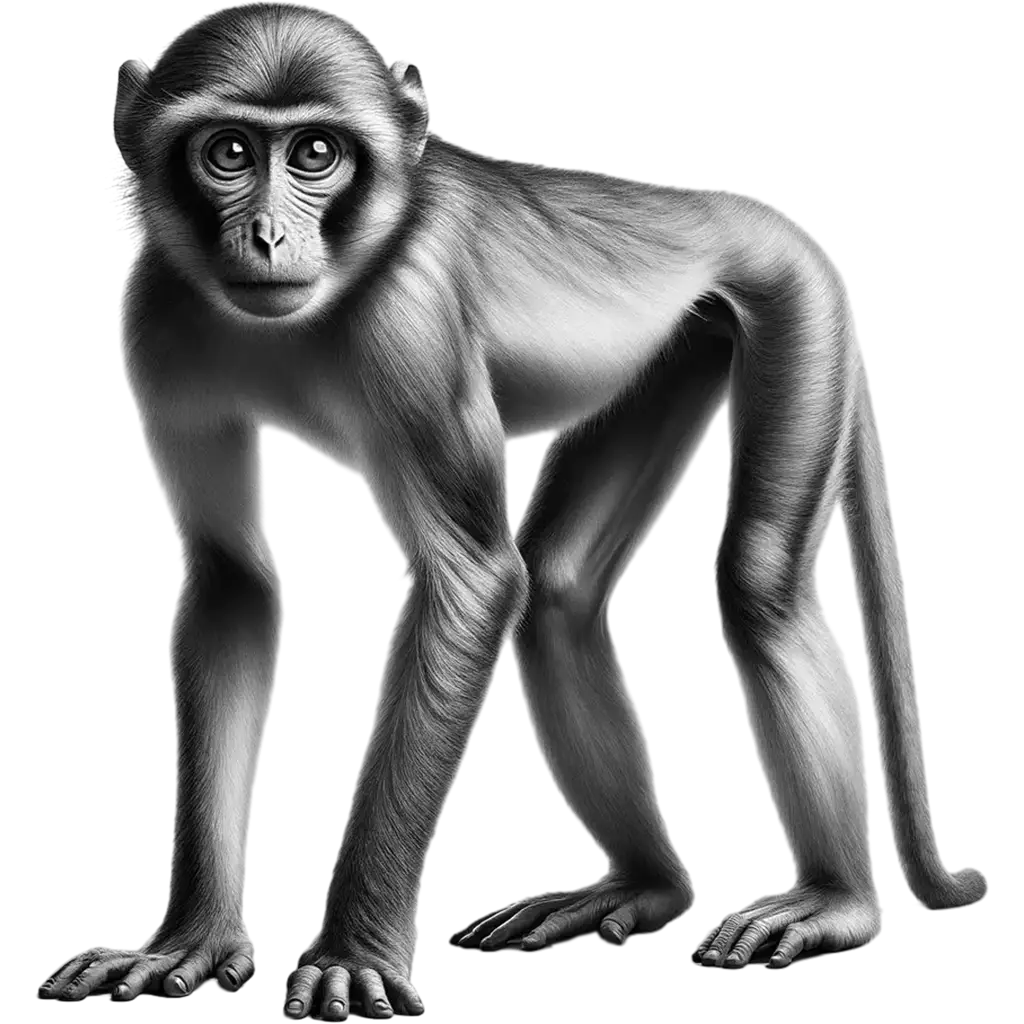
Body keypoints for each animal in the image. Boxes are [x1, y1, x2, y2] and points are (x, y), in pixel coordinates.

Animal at [35, 1, 990, 1018]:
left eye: (315, 153)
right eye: (227, 151)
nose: (263, 235)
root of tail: (739, 212)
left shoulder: (408, 315)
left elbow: (473, 579)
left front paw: (353, 953)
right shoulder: (155, 316)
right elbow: (231, 581)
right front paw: (191, 939)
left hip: (791, 301)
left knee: (759, 579)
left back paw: (836, 903)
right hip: (687, 347)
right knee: (564, 590)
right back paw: (646, 888)